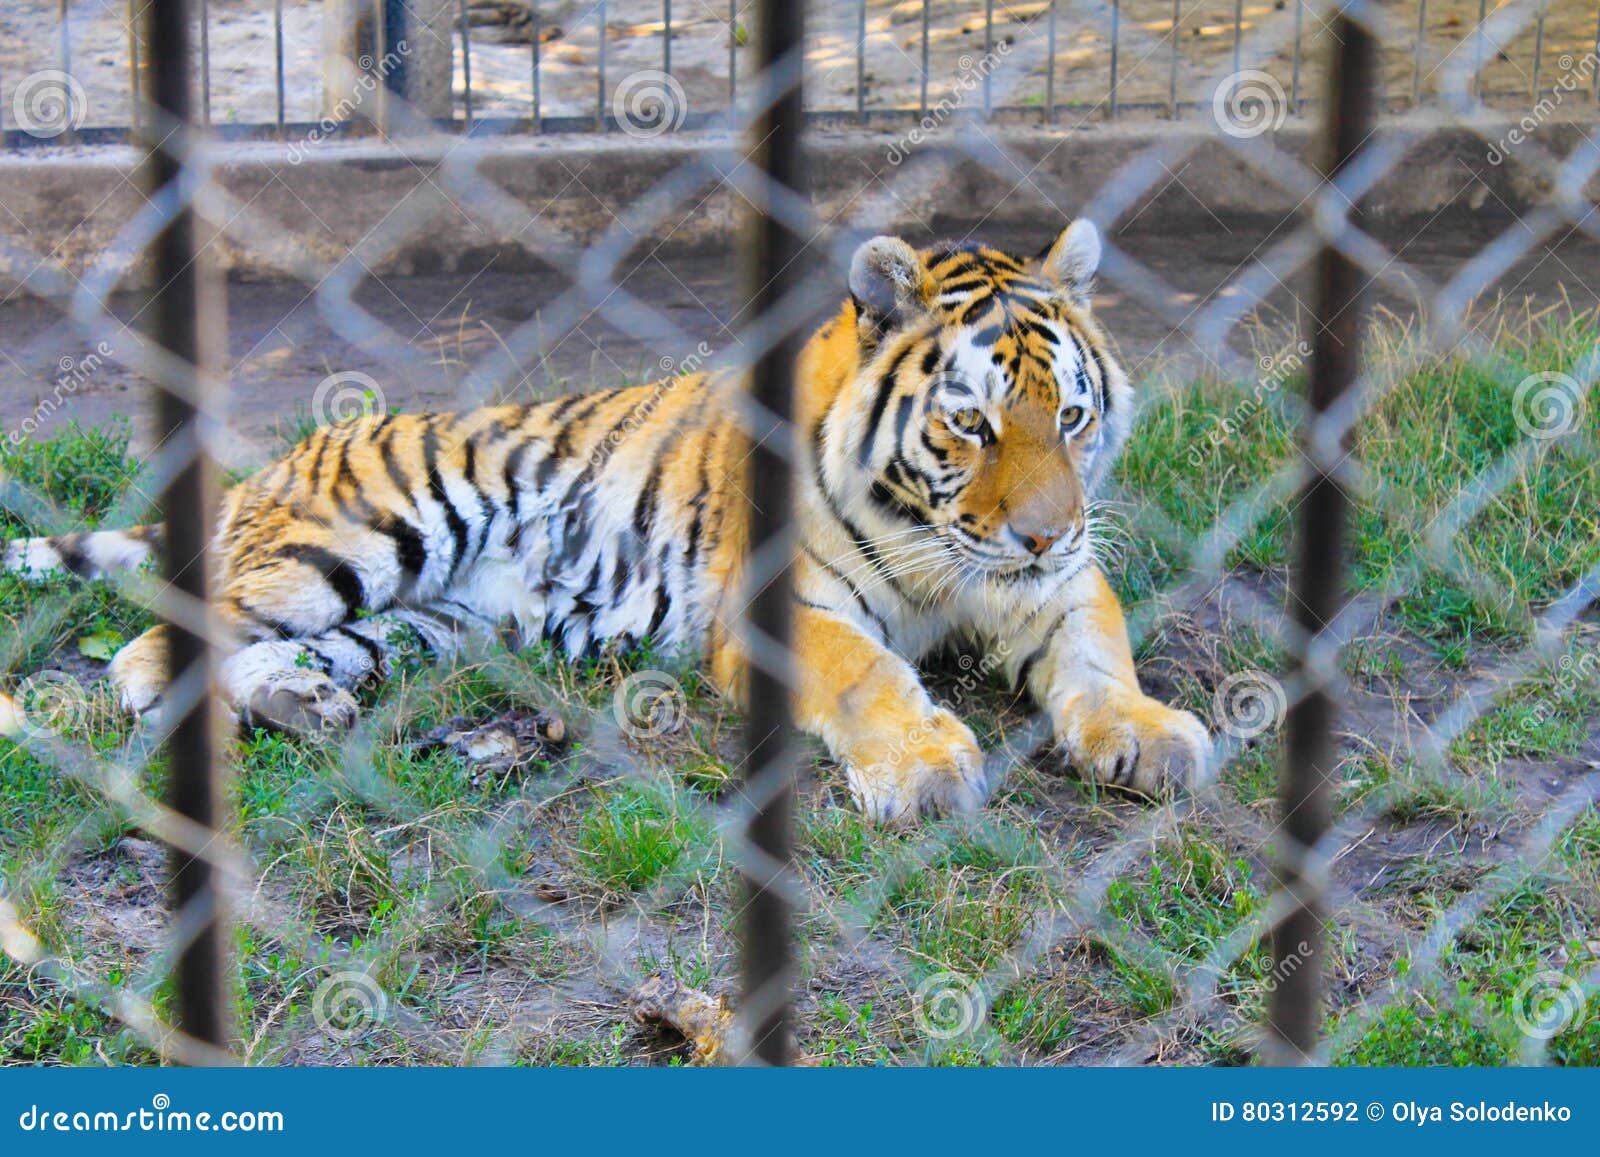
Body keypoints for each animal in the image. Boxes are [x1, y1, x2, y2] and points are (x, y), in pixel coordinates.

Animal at [3, 220, 1210, 824]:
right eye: (969, 422)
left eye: (1071, 416)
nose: (1044, 533)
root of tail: (275, 463)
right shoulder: (781, 609)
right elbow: (870, 673)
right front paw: (923, 768)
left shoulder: (1062, 588)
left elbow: (1099, 656)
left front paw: (1149, 734)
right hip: (351, 545)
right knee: (148, 646)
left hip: (428, 621)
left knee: (284, 654)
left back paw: (304, 705)